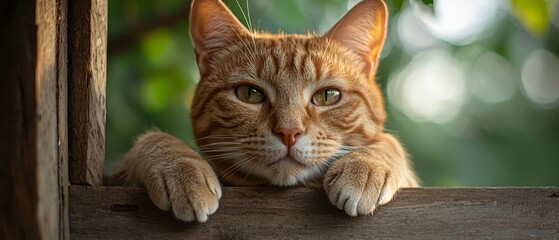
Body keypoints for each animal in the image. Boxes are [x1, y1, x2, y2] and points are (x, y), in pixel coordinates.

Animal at [111, 0, 418, 222]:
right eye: (250, 94)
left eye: (327, 96)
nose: (289, 132)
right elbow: (150, 139)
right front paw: (180, 167)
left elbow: (389, 143)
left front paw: (366, 165)